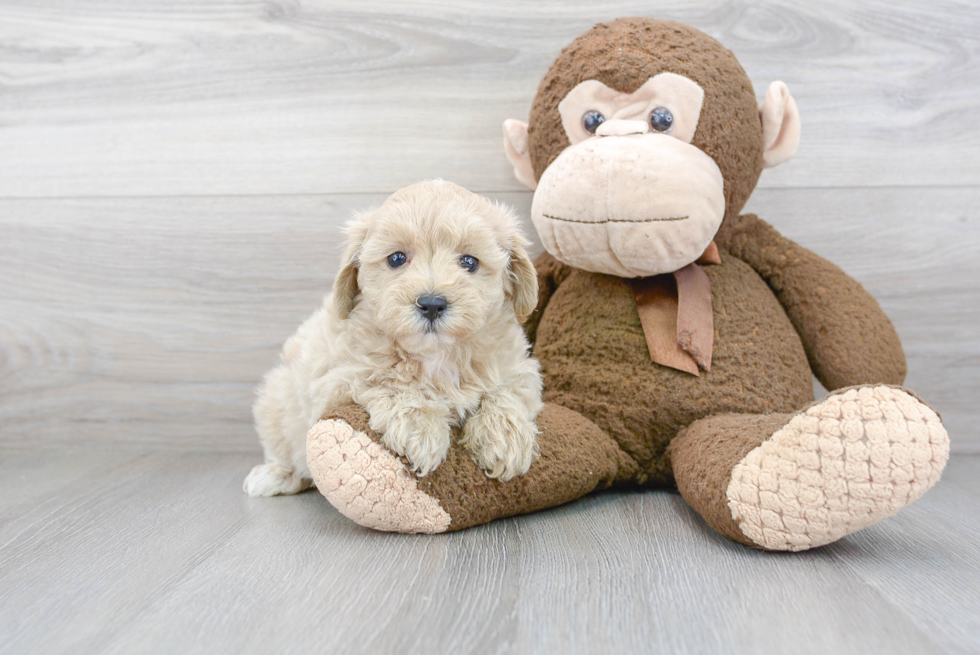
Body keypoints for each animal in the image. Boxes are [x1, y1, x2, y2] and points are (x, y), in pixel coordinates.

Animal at [241, 179, 540, 498]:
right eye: (396, 259)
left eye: (469, 262)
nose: (431, 304)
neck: (436, 355)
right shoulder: (337, 377)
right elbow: (387, 381)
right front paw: (421, 430)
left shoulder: (520, 367)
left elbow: (507, 390)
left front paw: (506, 437)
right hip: (276, 402)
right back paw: (275, 475)